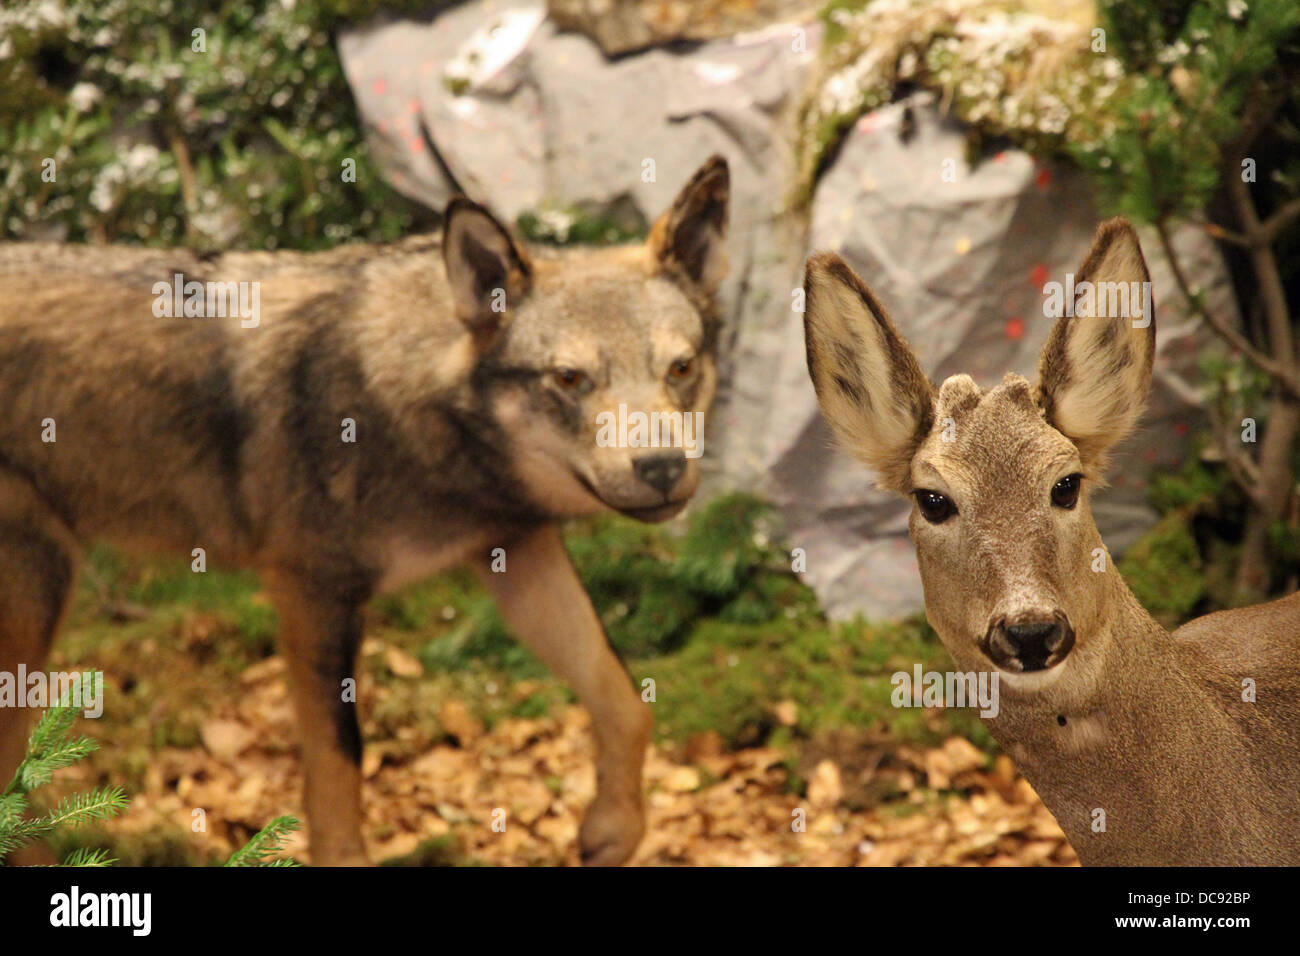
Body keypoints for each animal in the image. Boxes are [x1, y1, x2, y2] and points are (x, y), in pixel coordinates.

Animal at [0, 153, 733, 863]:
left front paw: (614, 829)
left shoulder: (518, 554)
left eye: (680, 368)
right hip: (38, 598)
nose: (663, 468)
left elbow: (624, 699)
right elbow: (340, 764)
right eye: (571, 379)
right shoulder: (312, 595)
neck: (407, 404)